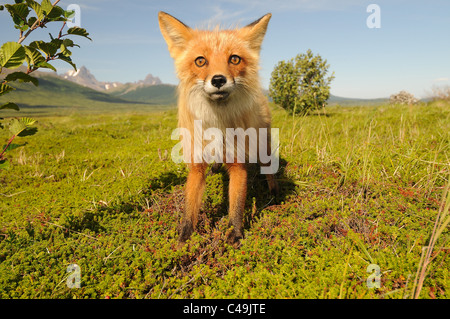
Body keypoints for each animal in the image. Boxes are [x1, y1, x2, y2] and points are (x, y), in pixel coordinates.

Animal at [158, 10, 278, 248]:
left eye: (234, 59)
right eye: (200, 61)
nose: (219, 80)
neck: (217, 124)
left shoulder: (238, 161)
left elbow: (236, 204)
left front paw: (235, 233)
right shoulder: (196, 162)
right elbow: (190, 207)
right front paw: (184, 238)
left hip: (263, 143)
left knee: (268, 166)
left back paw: (273, 191)